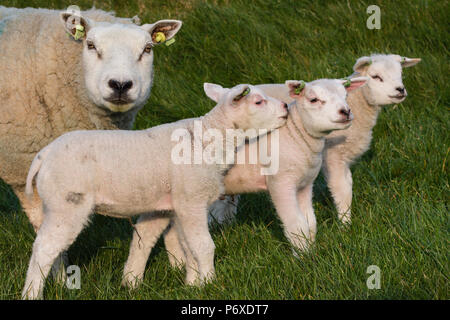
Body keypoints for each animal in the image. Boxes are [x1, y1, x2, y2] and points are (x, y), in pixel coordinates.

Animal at [21, 82, 286, 298]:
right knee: (44, 247)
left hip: (57, 204)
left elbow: (185, 246)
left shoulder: (173, 205)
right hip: (67, 202)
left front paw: (192, 285)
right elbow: (203, 245)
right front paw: (210, 282)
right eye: (258, 101)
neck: (210, 139)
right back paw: (32, 293)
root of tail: (43, 155)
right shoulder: (193, 200)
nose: (285, 107)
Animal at [121, 76, 368, 286]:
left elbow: (310, 223)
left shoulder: (304, 186)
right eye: (314, 99)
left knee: (157, 231)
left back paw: (165, 270)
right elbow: (296, 225)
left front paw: (310, 251)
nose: (345, 112)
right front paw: (303, 260)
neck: (297, 136)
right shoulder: (281, 183)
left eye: (345, 96)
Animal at [207, 53, 418, 225]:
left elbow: (348, 186)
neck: (359, 106)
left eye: (401, 74)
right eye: (376, 77)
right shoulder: (333, 157)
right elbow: (341, 189)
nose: (400, 90)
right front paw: (345, 225)